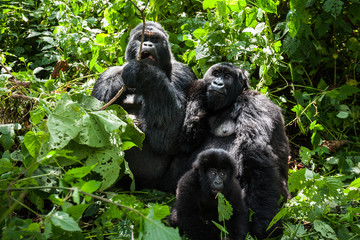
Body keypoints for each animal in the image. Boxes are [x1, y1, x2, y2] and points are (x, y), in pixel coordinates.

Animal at [90, 23, 197, 191]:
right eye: (142, 38)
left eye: (155, 39)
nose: (147, 44)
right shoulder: (106, 74)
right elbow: (95, 121)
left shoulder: (184, 73)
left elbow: (172, 135)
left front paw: (142, 72)